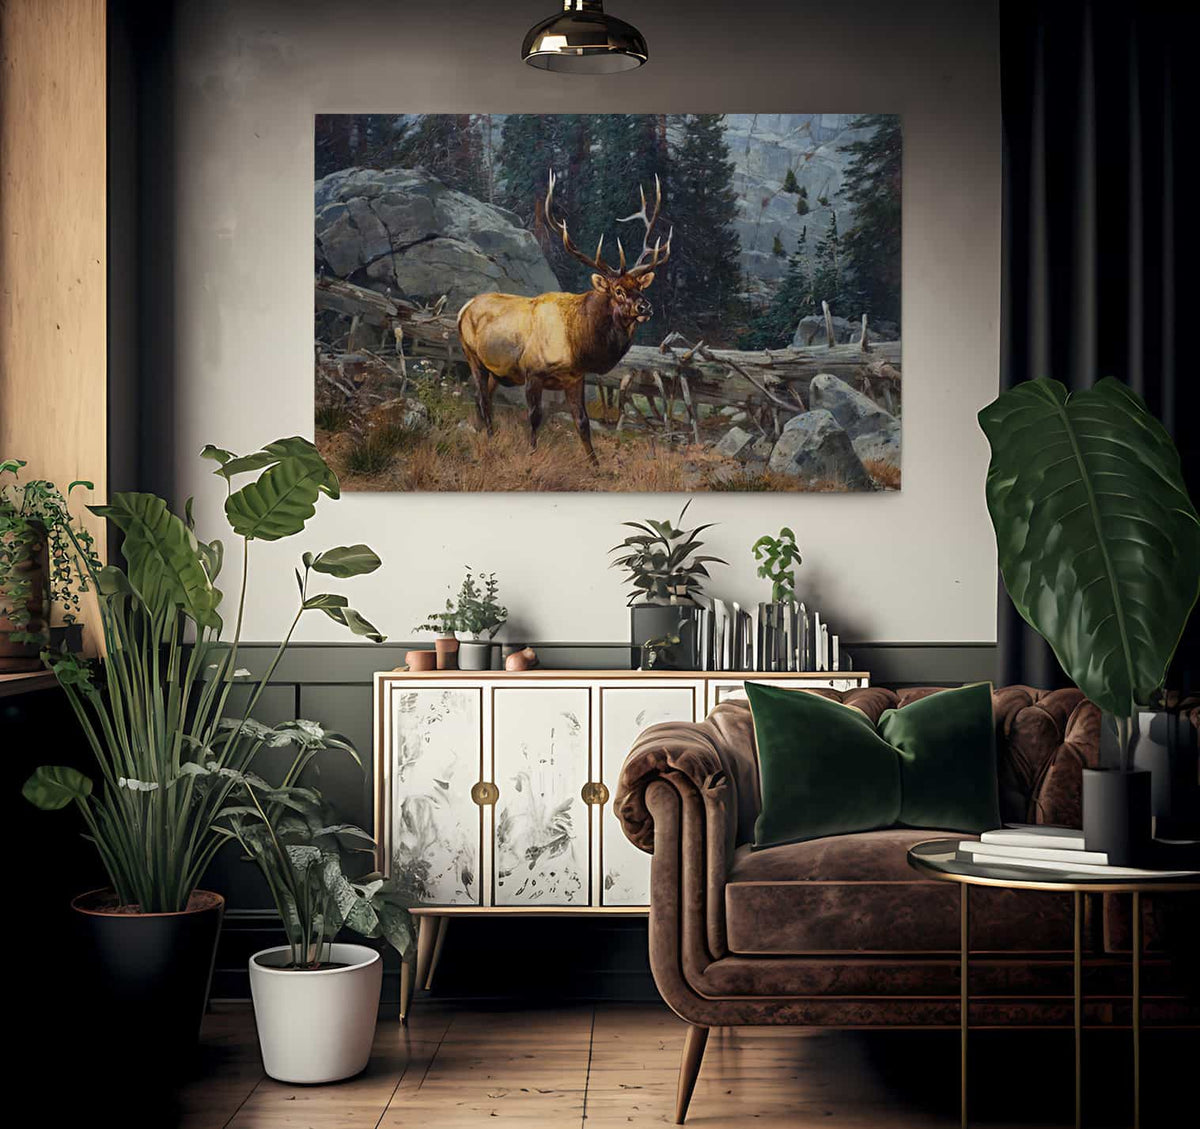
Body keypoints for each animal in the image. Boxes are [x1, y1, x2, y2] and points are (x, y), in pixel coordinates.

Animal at [456, 169, 672, 467]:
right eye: (618, 290)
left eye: (640, 287)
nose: (645, 307)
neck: (577, 343)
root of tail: (464, 307)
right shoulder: (532, 372)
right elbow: (535, 417)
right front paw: (532, 454)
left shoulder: (575, 377)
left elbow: (582, 421)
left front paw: (595, 464)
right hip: (472, 355)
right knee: (481, 397)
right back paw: (488, 437)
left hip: (495, 369)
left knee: (485, 396)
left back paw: (486, 433)